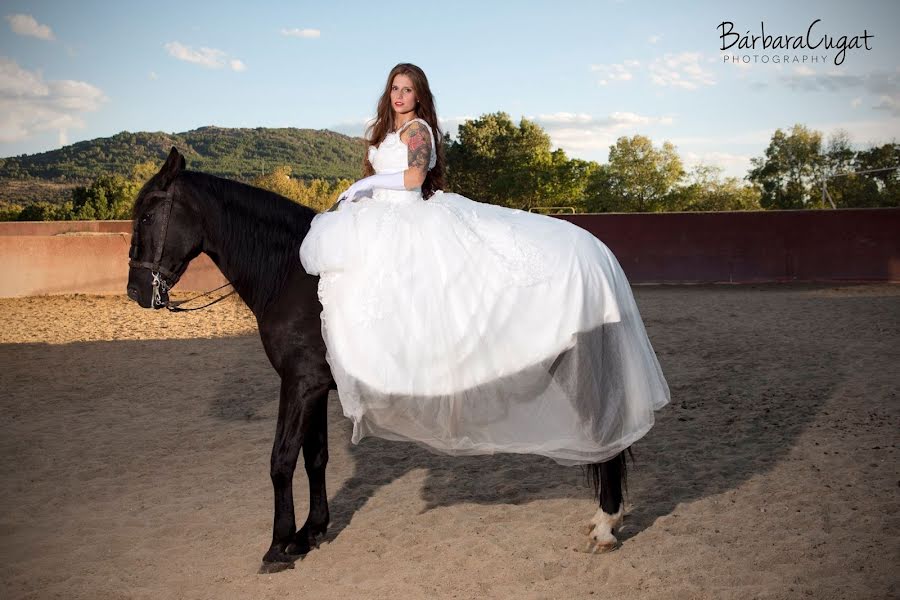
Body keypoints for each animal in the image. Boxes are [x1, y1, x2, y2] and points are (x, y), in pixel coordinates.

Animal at [128, 146, 624, 572]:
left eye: (149, 213)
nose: (135, 292)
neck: (294, 272)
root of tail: (600, 254)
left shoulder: (299, 383)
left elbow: (281, 459)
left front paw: (278, 545)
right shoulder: (315, 386)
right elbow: (315, 456)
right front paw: (311, 532)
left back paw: (606, 524)